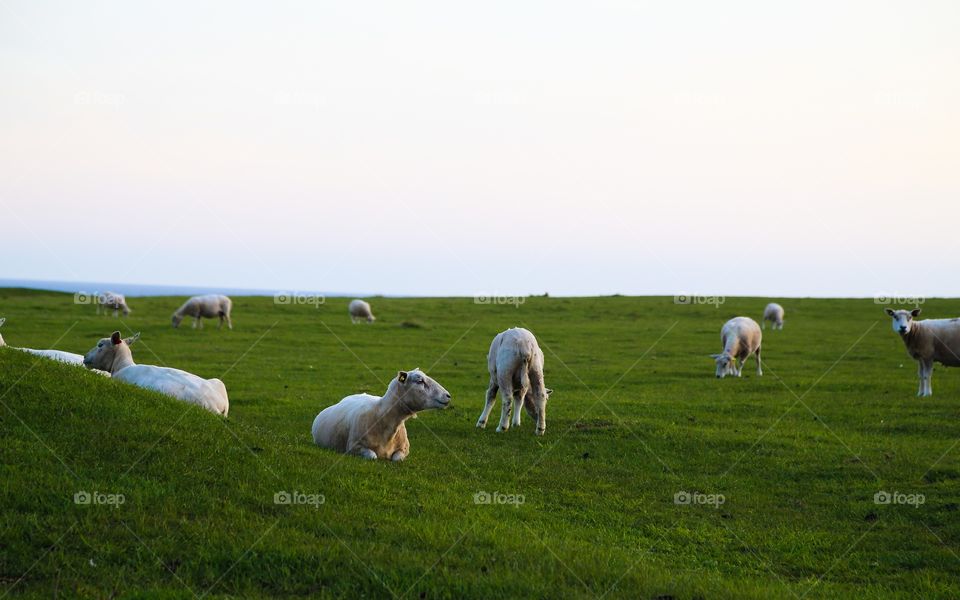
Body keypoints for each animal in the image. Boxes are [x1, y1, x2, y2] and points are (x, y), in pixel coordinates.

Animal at [312, 366, 454, 460]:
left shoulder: (404, 449)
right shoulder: (354, 447)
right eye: (420, 381)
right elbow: (373, 456)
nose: (448, 395)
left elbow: (397, 459)